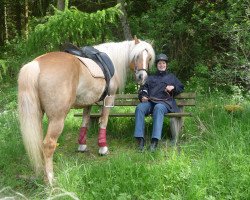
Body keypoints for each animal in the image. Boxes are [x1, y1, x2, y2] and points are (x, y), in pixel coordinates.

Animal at [18, 37, 154, 184]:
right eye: (136, 56)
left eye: (149, 58)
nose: (142, 77)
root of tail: (36, 64)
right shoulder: (109, 99)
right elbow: (103, 122)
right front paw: (103, 147)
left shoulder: (87, 103)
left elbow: (85, 123)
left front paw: (82, 146)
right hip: (57, 118)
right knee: (48, 145)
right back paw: (50, 179)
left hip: (37, 115)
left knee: (38, 144)